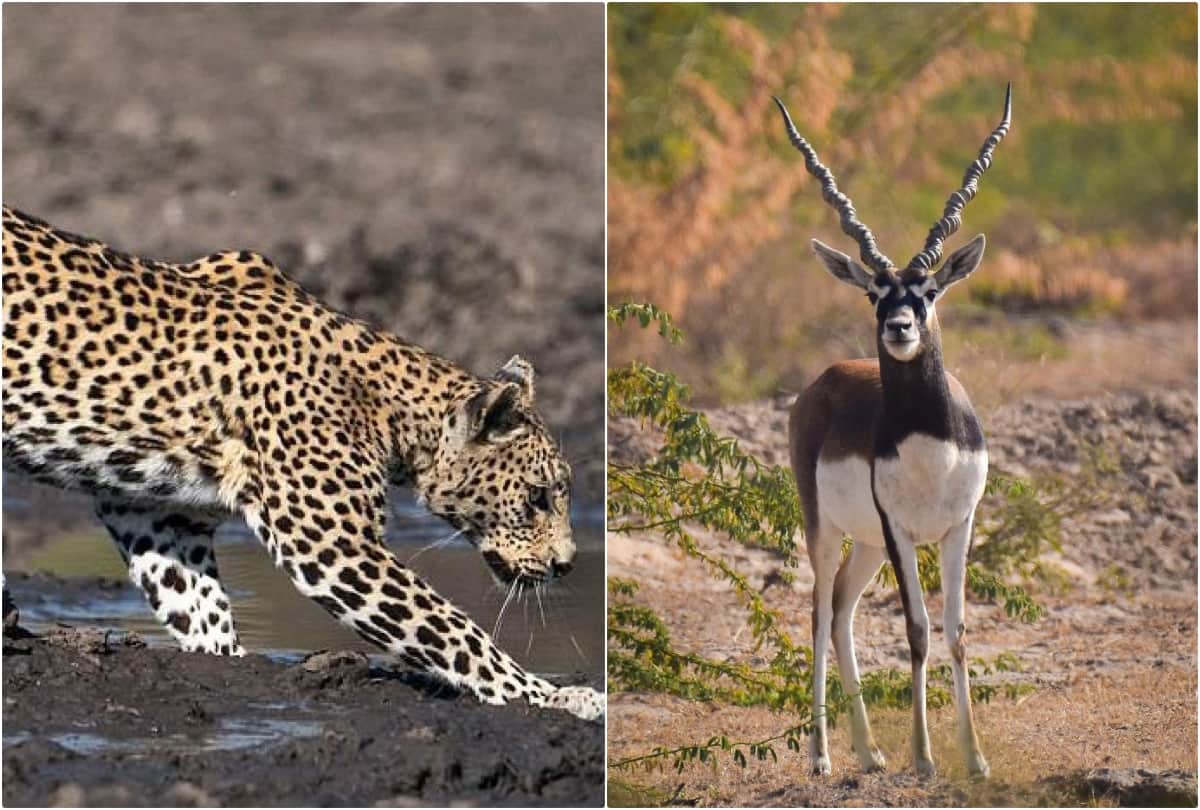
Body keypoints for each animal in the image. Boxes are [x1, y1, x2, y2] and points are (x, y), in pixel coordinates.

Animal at [1, 205, 603, 722]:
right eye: (538, 498)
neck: (395, 412)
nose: (568, 564)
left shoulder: (156, 513)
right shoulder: (332, 545)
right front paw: (549, 696)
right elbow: (453, 630)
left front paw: (230, 664)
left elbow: (196, 604)